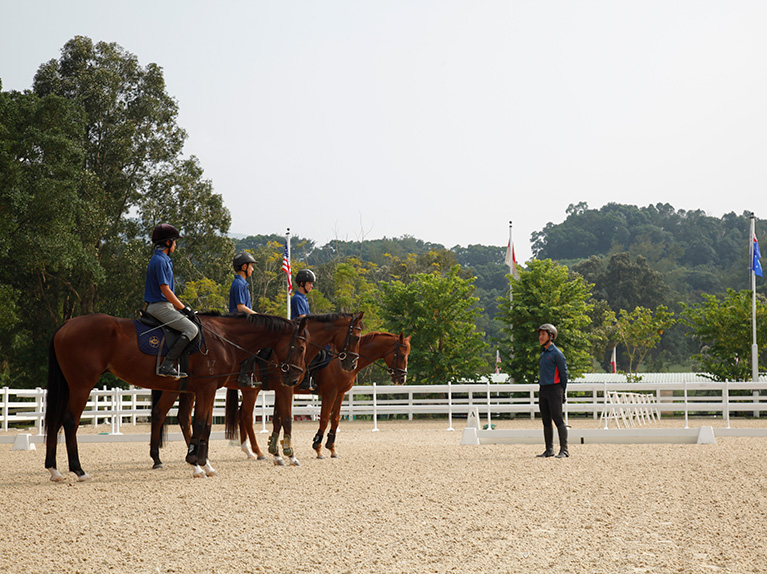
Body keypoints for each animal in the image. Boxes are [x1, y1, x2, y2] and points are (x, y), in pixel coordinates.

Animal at [44, 312, 308, 484]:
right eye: (301, 347)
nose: (295, 377)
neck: (223, 339)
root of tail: (66, 325)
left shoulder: (204, 389)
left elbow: (203, 426)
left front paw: (204, 464)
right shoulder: (207, 388)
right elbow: (200, 424)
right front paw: (197, 463)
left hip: (71, 386)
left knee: (55, 422)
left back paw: (54, 470)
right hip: (82, 384)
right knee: (69, 422)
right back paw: (78, 470)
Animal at [152, 316, 368, 472]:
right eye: (356, 337)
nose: (351, 363)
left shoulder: (285, 388)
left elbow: (279, 418)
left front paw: (277, 451)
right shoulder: (291, 388)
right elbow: (290, 418)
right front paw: (292, 453)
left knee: (186, 416)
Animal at [231, 330, 412, 462]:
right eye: (402, 355)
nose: (402, 378)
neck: (341, 361)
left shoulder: (340, 394)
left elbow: (335, 419)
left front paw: (332, 447)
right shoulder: (330, 393)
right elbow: (324, 418)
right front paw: (318, 447)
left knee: (241, 414)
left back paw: (249, 451)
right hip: (251, 390)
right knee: (246, 416)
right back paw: (257, 452)